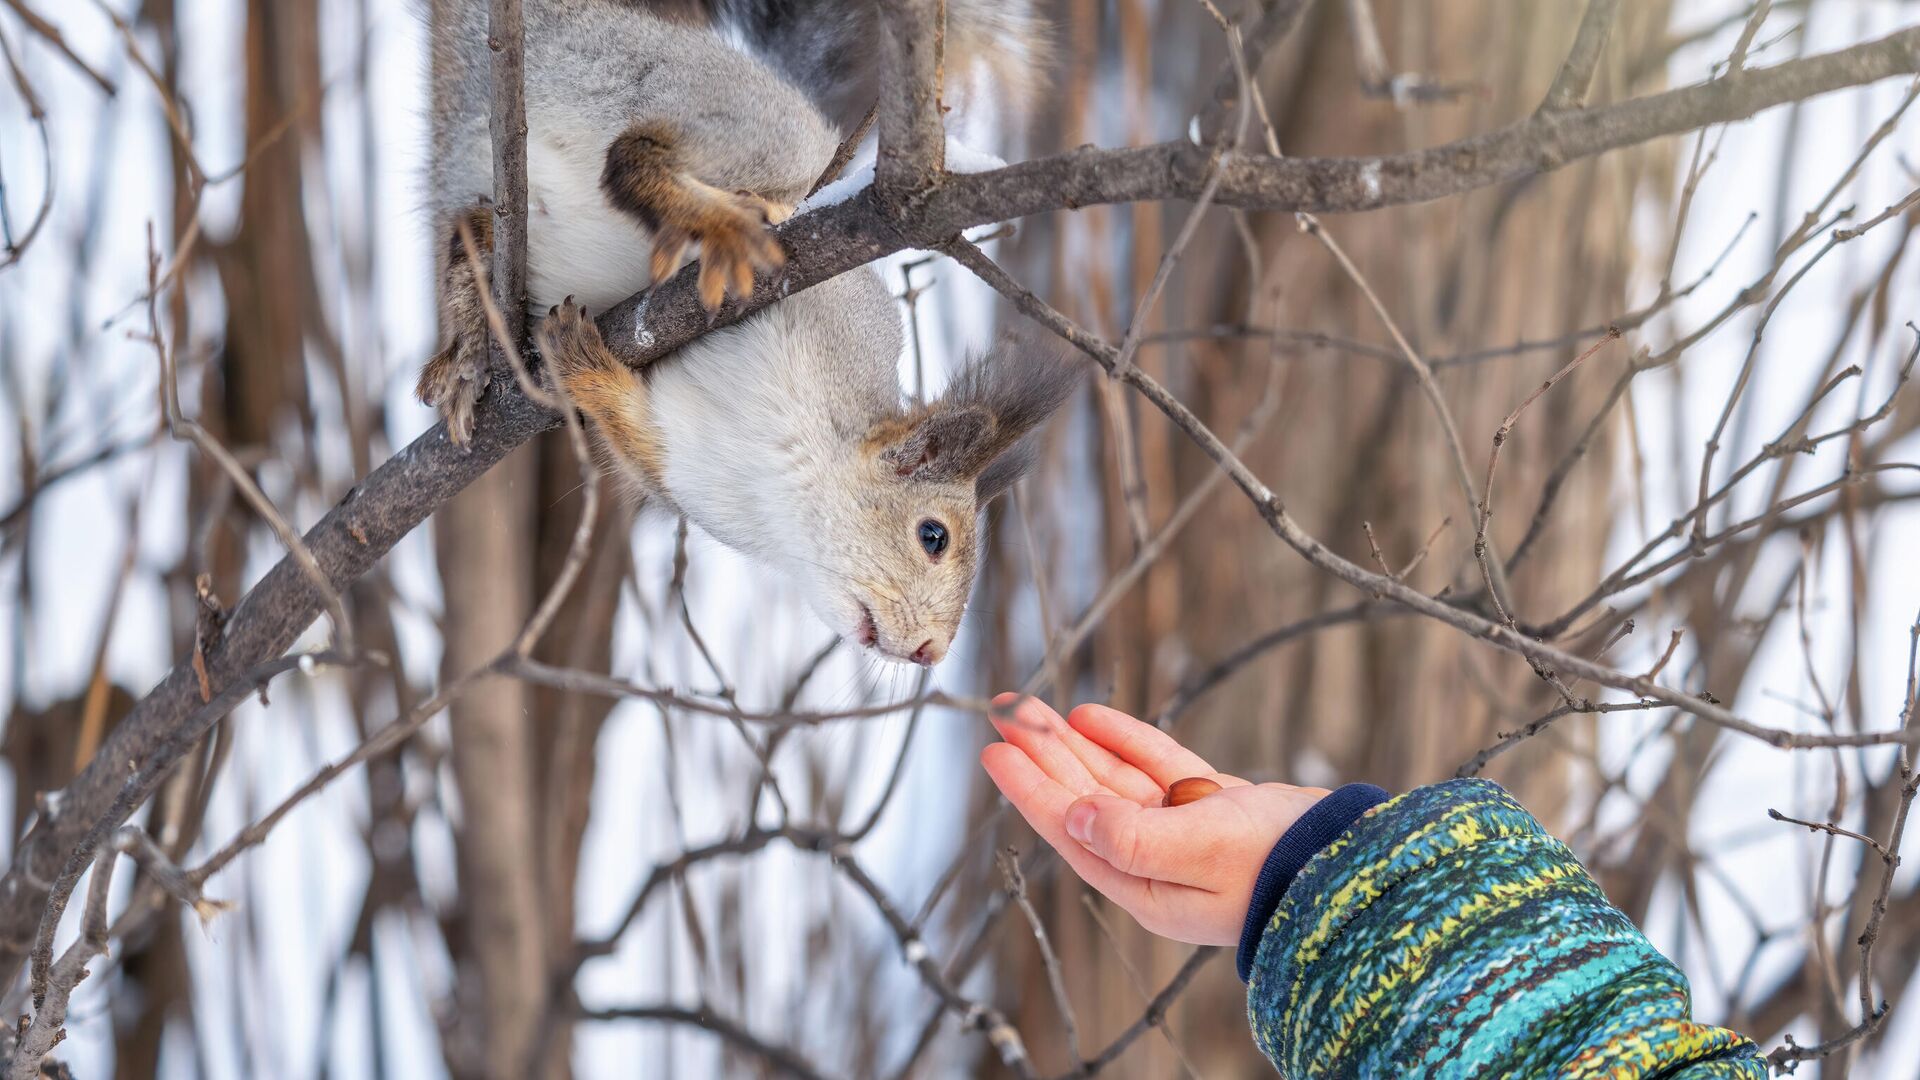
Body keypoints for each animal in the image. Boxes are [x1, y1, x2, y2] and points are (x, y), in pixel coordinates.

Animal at [420, 2, 1075, 664]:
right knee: (635, 154)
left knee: (475, 226)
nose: (931, 653)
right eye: (933, 535)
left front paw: (583, 364)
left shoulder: (681, 463)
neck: (783, 478)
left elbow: (632, 425)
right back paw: (714, 223)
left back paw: (467, 349)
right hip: (708, 110)